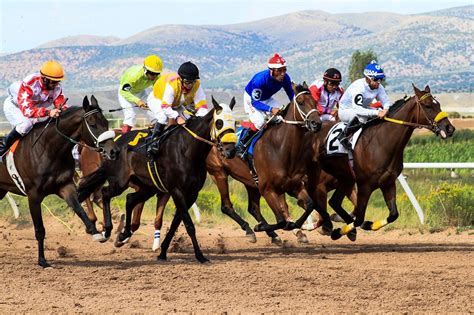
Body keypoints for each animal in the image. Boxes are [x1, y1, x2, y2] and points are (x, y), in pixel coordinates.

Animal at [0, 95, 120, 266]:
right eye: (92, 124)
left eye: (106, 122)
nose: (114, 151)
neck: (49, 150)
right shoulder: (33, 196)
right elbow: (40, 230)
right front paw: (42, 261)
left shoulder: (65, 186)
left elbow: (79, 209)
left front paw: (96, 232)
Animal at [79, 97, 239, 264]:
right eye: (219, 122)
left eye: (235, 123)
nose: (230, 150)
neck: (188, 149)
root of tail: (112, 146)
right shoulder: (177, 191)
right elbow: (189, 224)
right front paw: (200, 256)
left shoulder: (191, 193)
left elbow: (175, 223)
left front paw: (162, 252)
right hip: (119, 182)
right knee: (105, 193)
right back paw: (108, 230)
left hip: (146, 187)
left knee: (129, 199)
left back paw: (124, 233)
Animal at [308, 84, 456, 239]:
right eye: (428, 106)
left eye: (438, 104)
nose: (449, 128)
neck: (381, 143)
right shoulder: (365, 186)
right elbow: (359, 217)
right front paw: (340, 231)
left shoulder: (388, 182)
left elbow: (393, 214)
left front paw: (367, 225)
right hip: (325, 181)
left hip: (345, 180)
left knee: (334, 202)